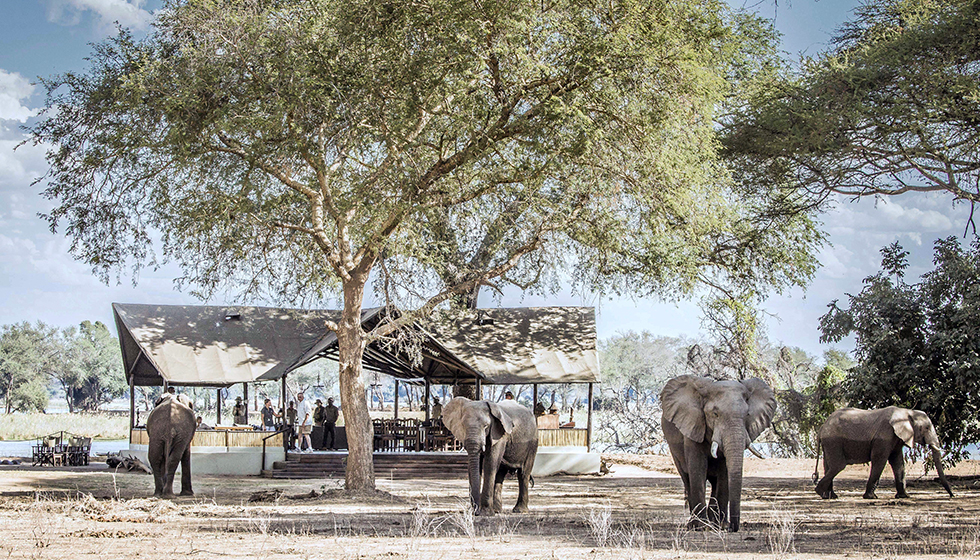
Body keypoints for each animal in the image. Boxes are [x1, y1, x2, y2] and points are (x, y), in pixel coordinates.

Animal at [664, 374, 776, 532]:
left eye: (747, 414)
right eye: (715, 414)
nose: (733, 528)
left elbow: (725, 472)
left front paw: (722, 526)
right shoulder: (693, 427)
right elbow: (697, 469)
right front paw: (701, 526)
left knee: (715, 482)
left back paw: (714, 522)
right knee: (687, 479)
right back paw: (695, 524)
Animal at [812, 406, 956, 498]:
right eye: (926, 428)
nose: (952, 495)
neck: (907, 411)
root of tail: (822, 427)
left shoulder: (896, 439)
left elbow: (898, 462)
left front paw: (904, 496)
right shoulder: (884, 437)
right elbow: (880, 460)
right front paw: (871, 497)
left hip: (830, 443)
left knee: (829, 465)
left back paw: (830, 496)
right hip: (833, 441)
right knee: (838, 465)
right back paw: (820, 492)